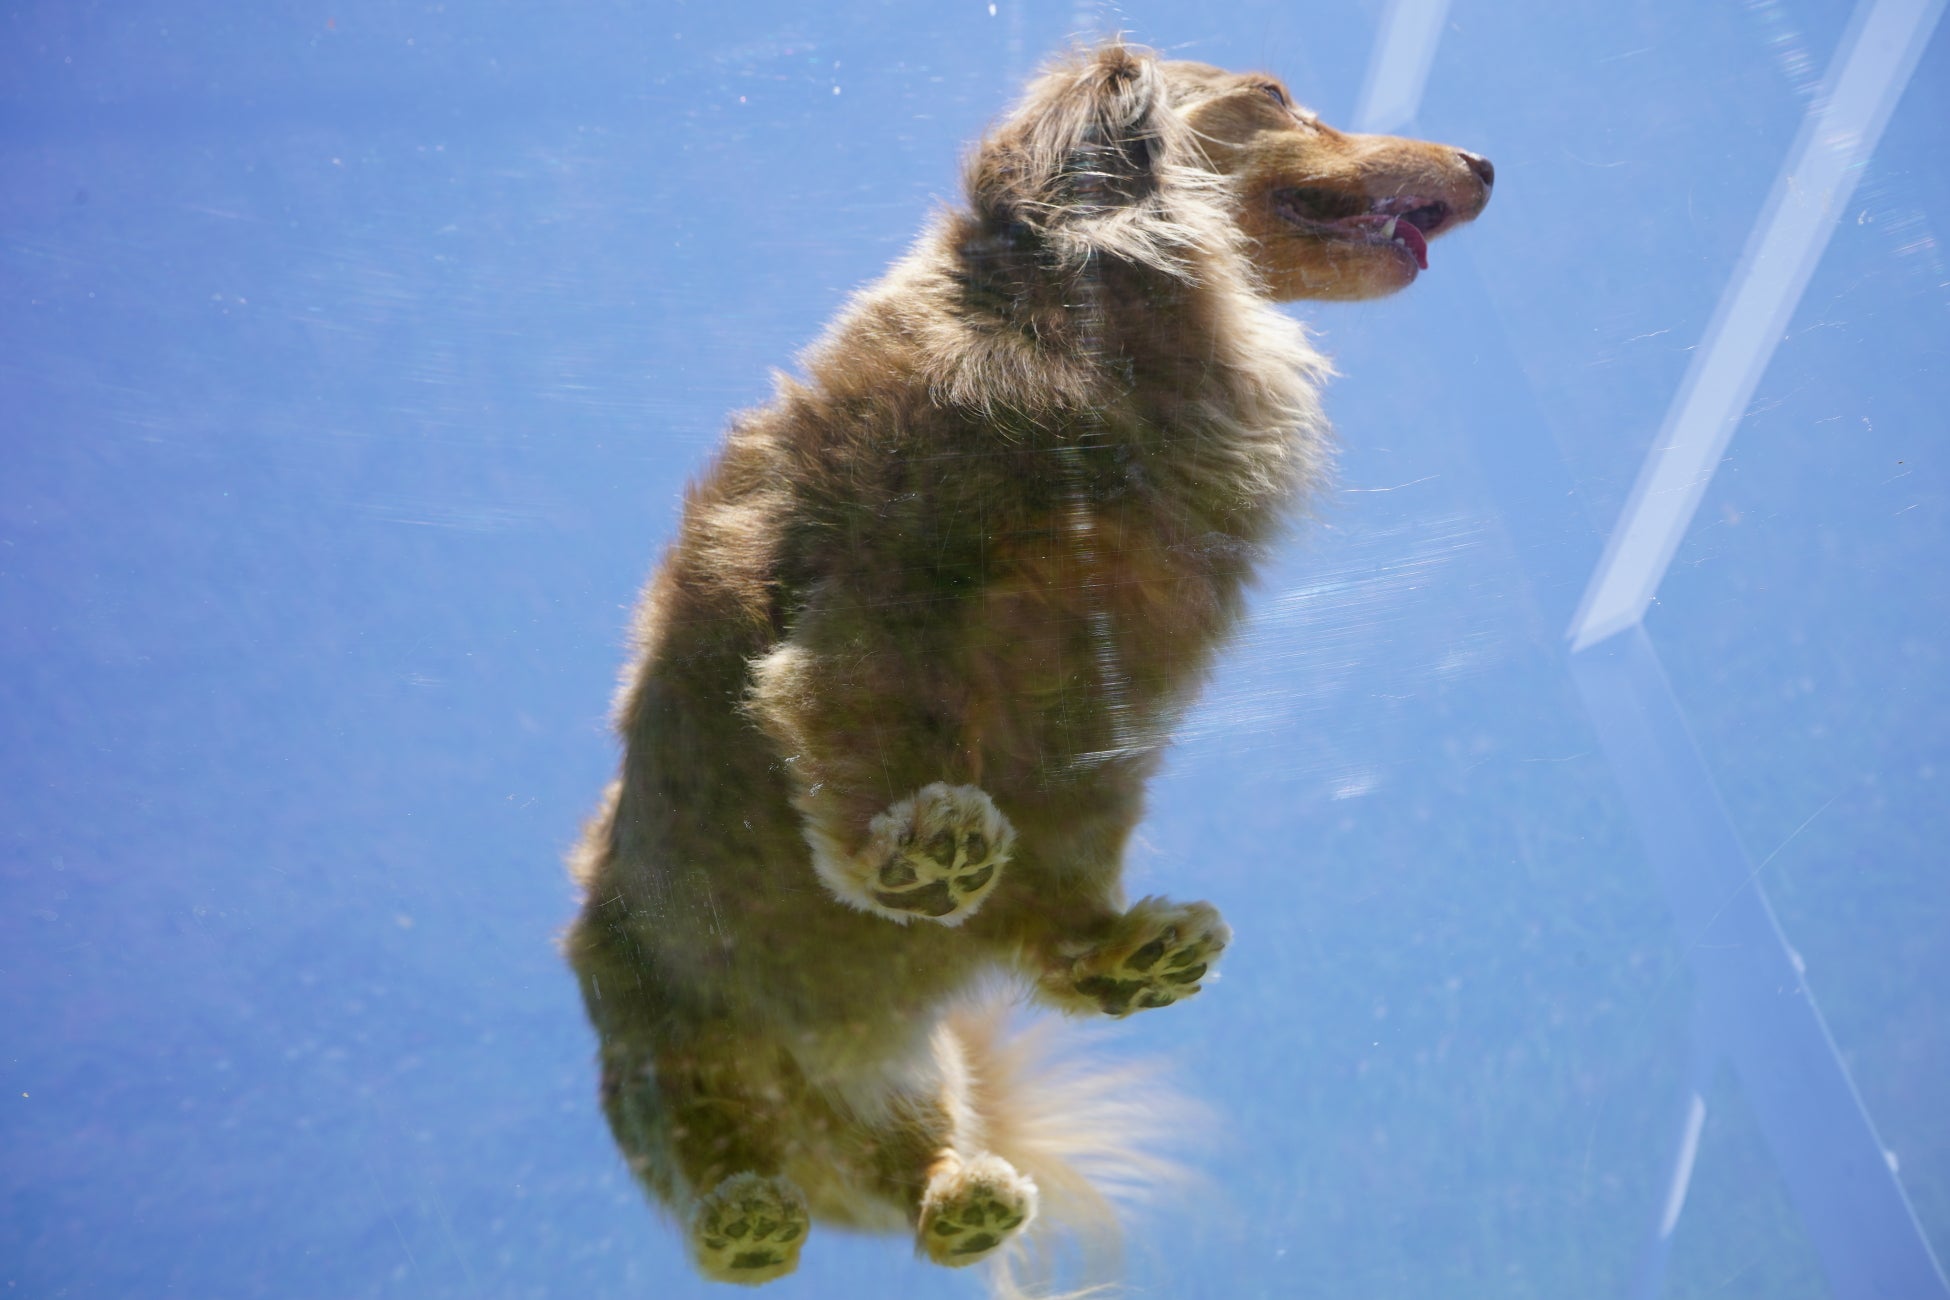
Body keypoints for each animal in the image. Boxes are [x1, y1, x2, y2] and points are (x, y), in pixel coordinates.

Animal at [565, 42, 1491, 1287]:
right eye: (1274, 96)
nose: (1484, 162)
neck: (1103, 328)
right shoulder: (869, 614)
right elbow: (840, 736)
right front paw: (909, 855)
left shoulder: (1095, 724)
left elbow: (1060, 869)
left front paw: (1082, 935)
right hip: (666, 1049)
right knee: (714, 1152)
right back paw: (745, 1218)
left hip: (915, 1083)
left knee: (917, 1155)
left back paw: (1001, 1131)